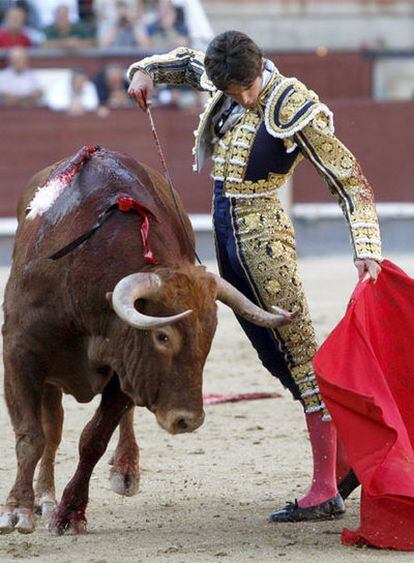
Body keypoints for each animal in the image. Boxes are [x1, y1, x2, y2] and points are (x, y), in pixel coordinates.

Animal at [0, 148, 292, 536]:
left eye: (209, 335)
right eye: (162, 335)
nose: (188, 420)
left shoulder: (127, 366)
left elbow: (93, 439)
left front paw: (70, 512)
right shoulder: (19, 355)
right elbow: (31, 437)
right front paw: (18, 510)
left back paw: (122, 472)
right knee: (51, 429)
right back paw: (43, 496)